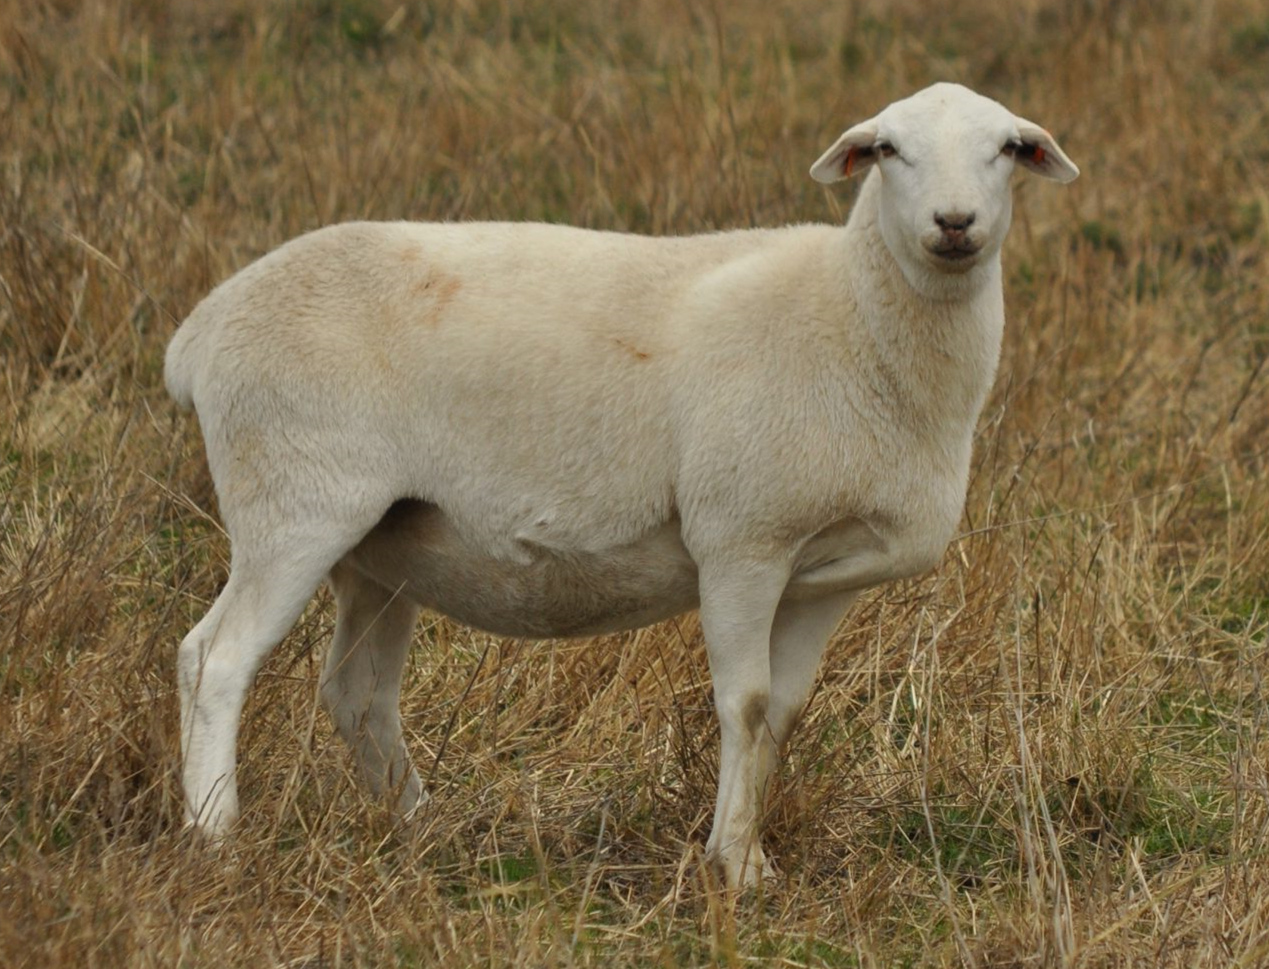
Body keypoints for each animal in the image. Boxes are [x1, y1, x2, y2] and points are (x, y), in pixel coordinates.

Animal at [163, 81, 1076, 887]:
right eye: (888, 150)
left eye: (1005, 149)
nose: (952, 224)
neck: (852, 315)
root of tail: (201, 330)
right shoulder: (740, 540)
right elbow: (743, 702)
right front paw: (730, 867)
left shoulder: (824, 575)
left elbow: (781, 712)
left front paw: (749, 856)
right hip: (295, 501)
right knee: (215, 658)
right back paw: (215, 835)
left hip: (383, 546)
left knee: (356, 692)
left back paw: (417, 823)